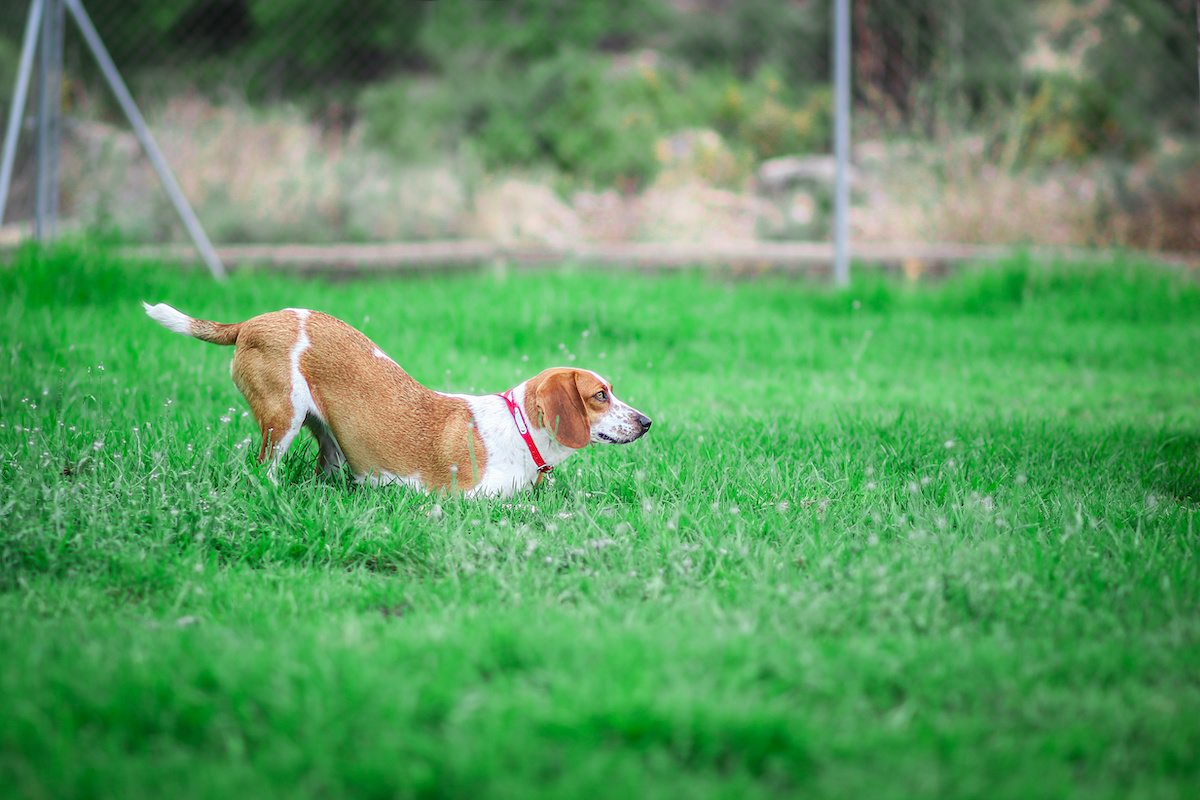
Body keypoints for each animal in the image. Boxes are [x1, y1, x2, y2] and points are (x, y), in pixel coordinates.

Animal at [144, 303, 652, 496]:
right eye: (600, 396)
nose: (647, 421)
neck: (521, 431)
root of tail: (250, 322)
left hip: (327, 440)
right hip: (281, 418)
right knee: (260, 469)